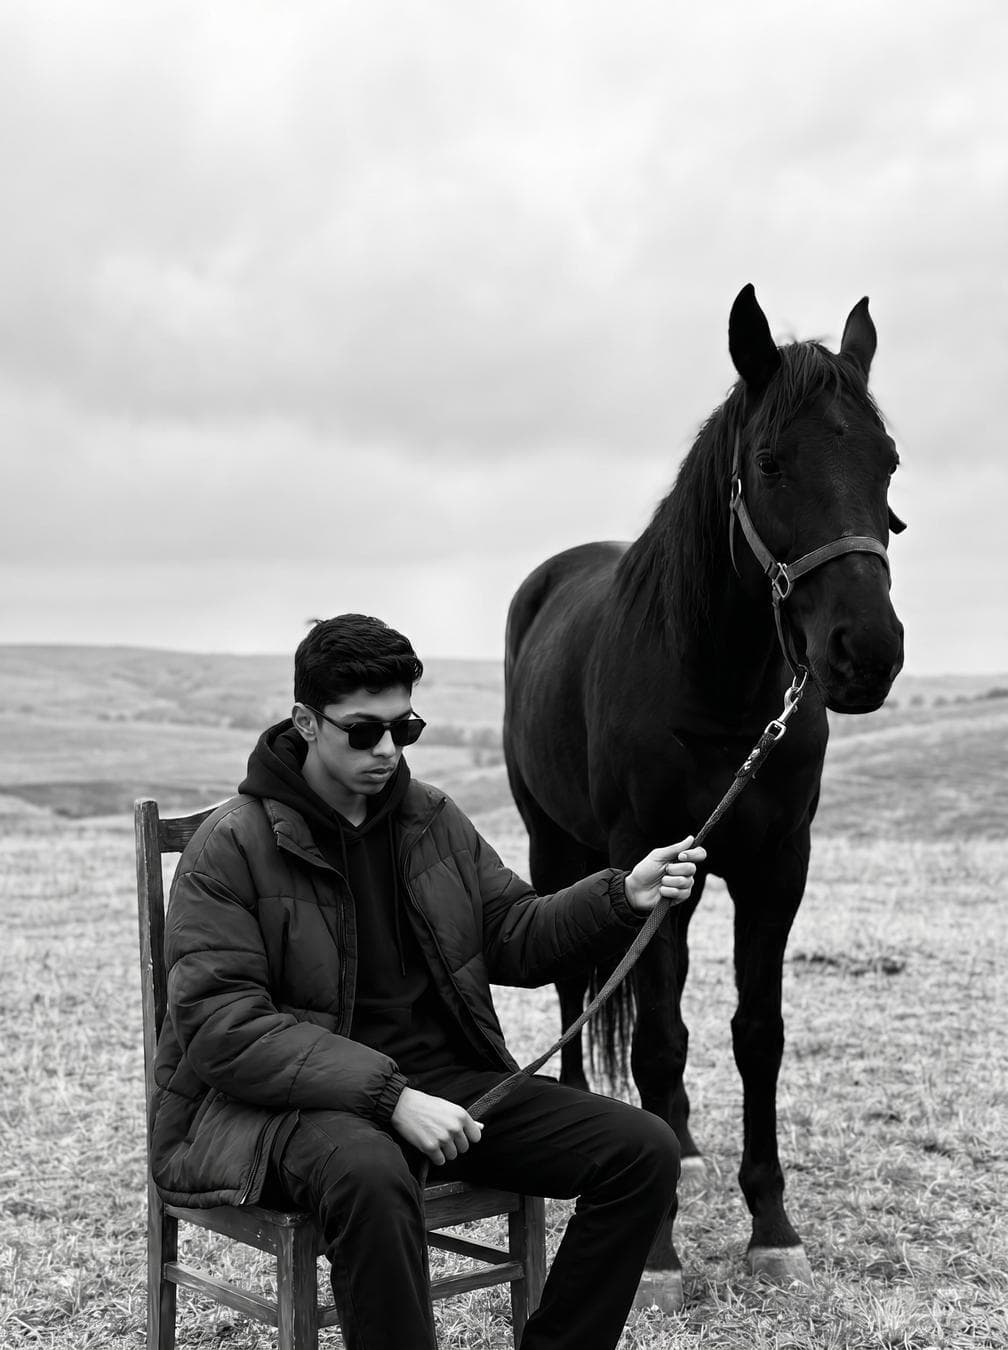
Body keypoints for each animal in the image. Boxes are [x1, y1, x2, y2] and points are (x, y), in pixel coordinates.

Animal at [502, 284, 905, 1307]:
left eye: (885, 460)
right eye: (769, 462)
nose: (867, 653)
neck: (721, 695)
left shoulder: (775, 869)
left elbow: (755, 1035)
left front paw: (773, 1230)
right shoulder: (647, 859)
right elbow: (657, 1039)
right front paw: (658, 1254)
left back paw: (677, 1144)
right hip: (557, 846)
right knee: (581, 983)